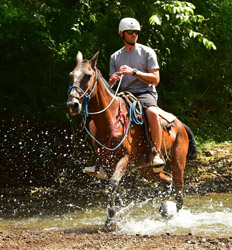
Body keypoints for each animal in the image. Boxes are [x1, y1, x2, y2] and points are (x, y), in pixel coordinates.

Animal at [65, 51, 198, 232]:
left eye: (88, 76)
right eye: (71, 75)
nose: (72, 104)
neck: (110, 119)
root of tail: (180, 124)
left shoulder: (125, 158)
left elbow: (114, 183)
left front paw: (111, 222)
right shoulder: (108, 162)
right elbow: (115, 188)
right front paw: (115, 218)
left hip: (178, 161)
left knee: (179, 191)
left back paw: (173, 216)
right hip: (146, 168)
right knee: (167, 180)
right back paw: (164, 209)